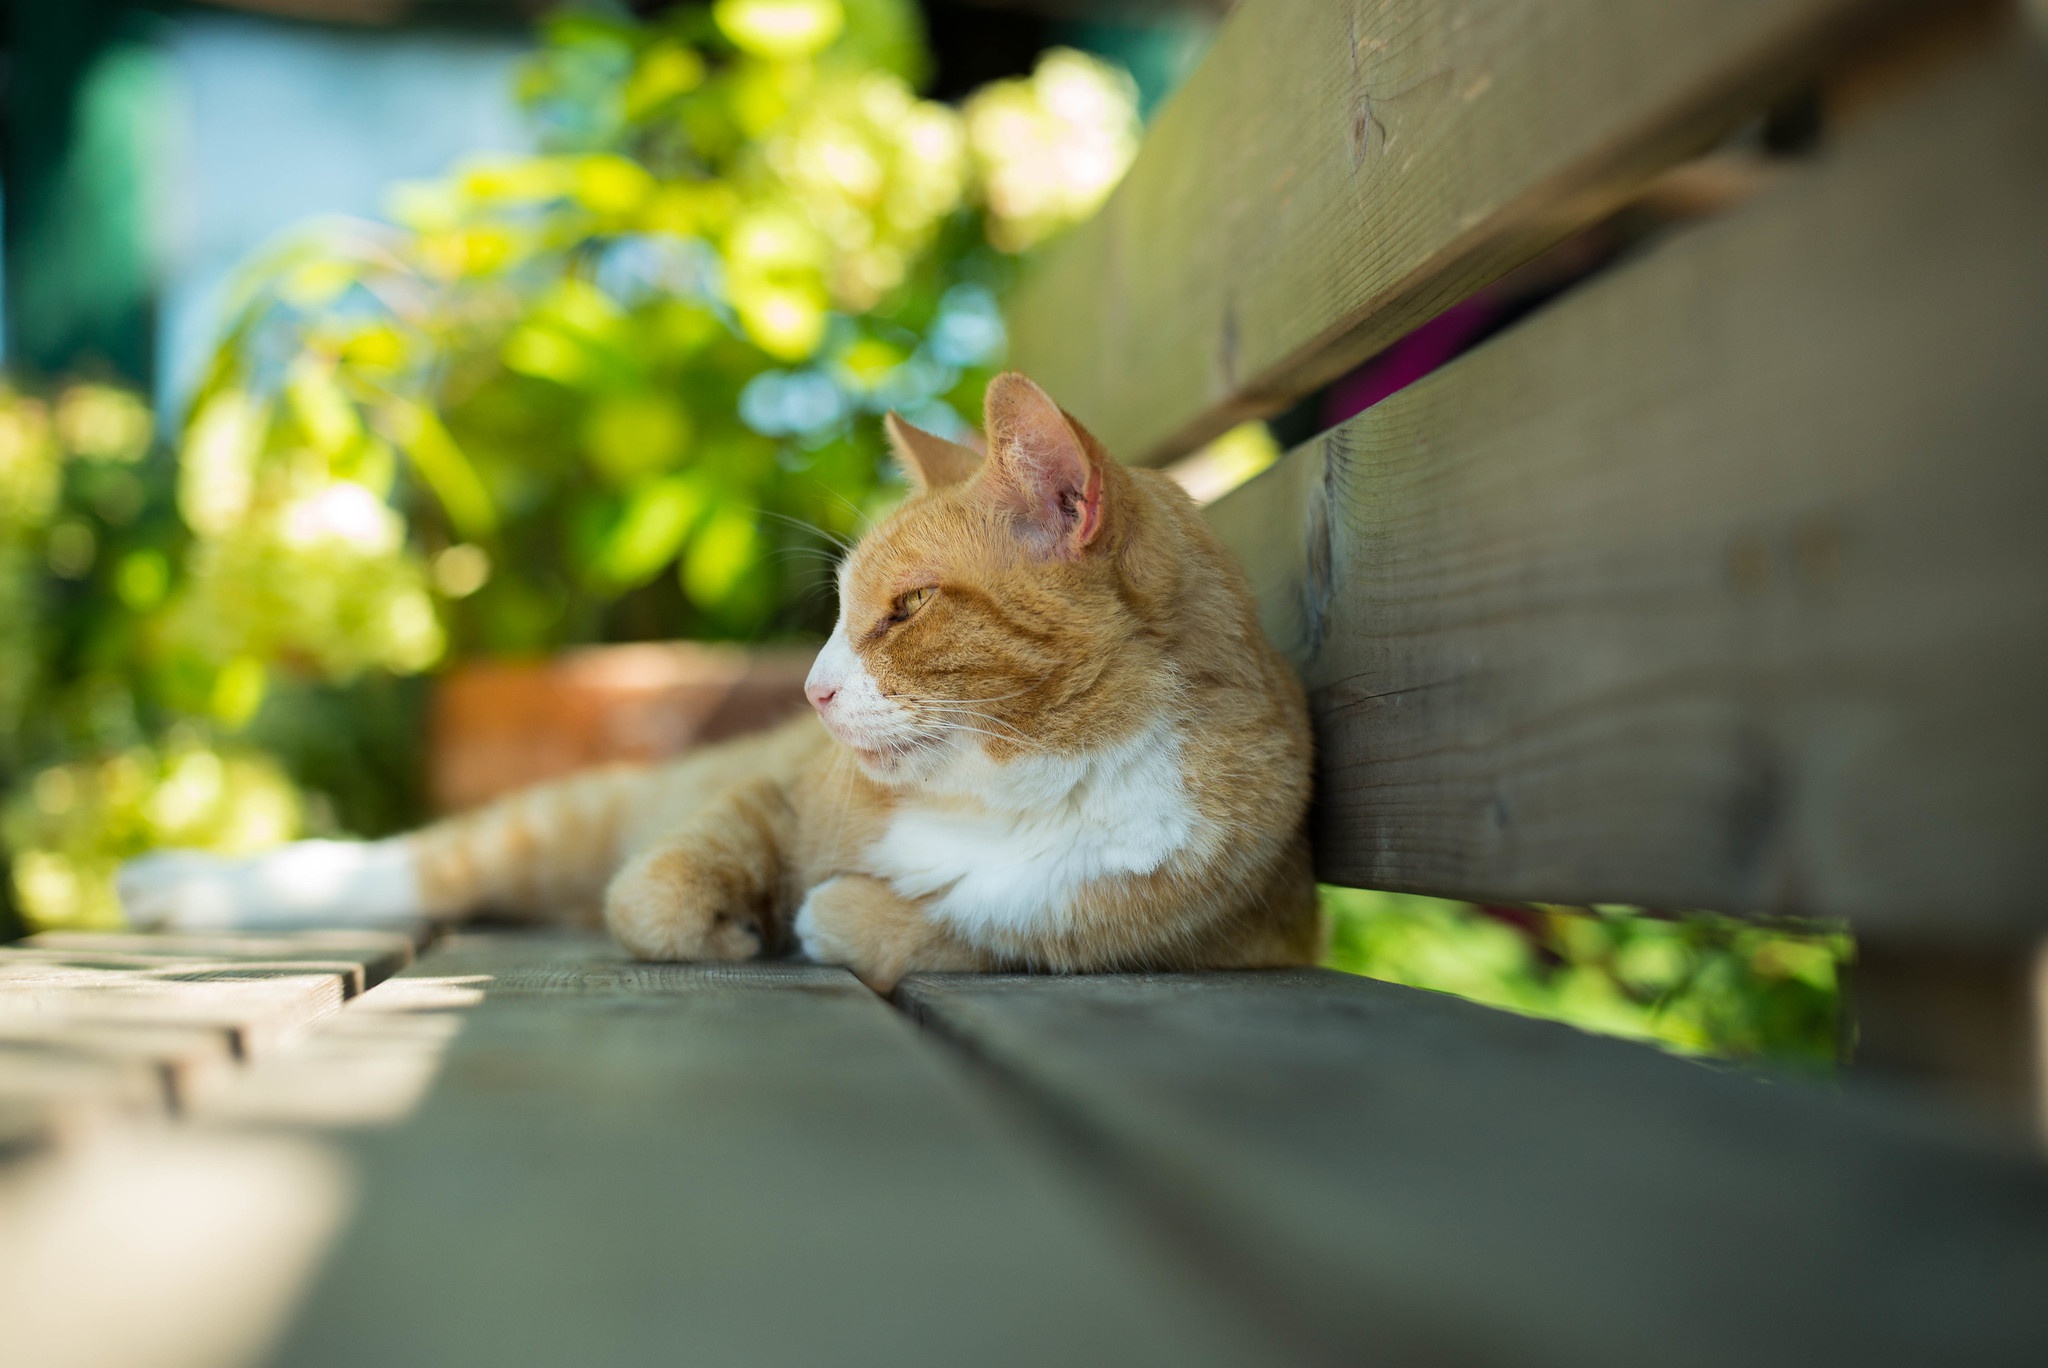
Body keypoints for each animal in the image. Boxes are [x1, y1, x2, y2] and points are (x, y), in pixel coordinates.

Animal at [119, 370, 1318, 995]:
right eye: (839, 609)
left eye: (902, 610)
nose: (813, 694)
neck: (1020, 792)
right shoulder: (766, 793)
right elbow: (654, 891)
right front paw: (730, 919)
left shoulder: (1202, 931)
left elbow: (967, 927)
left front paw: (836, 917)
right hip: (570, 814)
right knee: (409, 865)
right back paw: (178, 886)